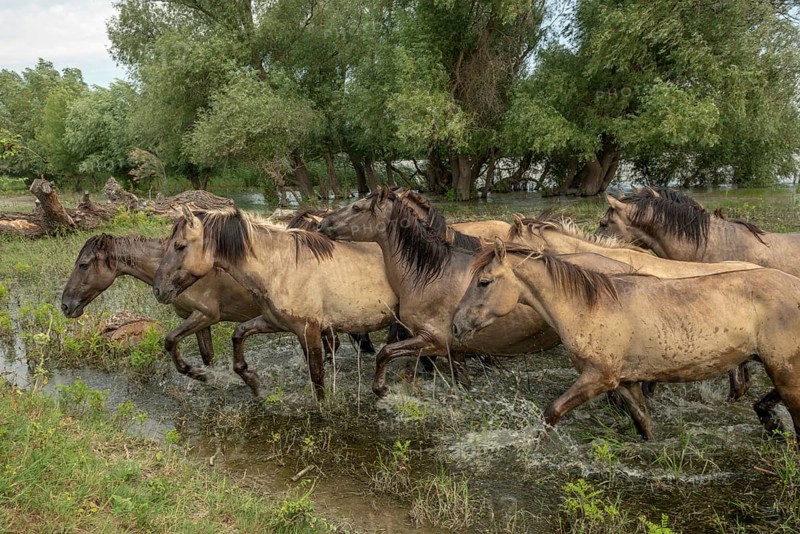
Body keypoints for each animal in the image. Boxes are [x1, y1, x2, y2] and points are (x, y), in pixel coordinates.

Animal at [153, 207, 399, 400]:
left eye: (180, 245)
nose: (158, 290)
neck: (282, 268)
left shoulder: (309, 330)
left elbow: (317, 377)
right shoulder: (274, 322)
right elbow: (238, 334)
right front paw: (253, 382)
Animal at [319, 187, 661, 438]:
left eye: (357, 208)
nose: (323, 224)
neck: (430, 272)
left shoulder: (431, 340)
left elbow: (386, 353)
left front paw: (380, 390)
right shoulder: (454, 348)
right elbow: (462, 381)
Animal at [452, 239, 800, 439]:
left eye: (483, 282)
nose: (455, 325)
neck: (588, 307)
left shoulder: (599, 377)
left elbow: (552, 411)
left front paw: (537, 444)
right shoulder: (626, 382)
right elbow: (644, 424)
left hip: (784, 369)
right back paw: (767, 418)